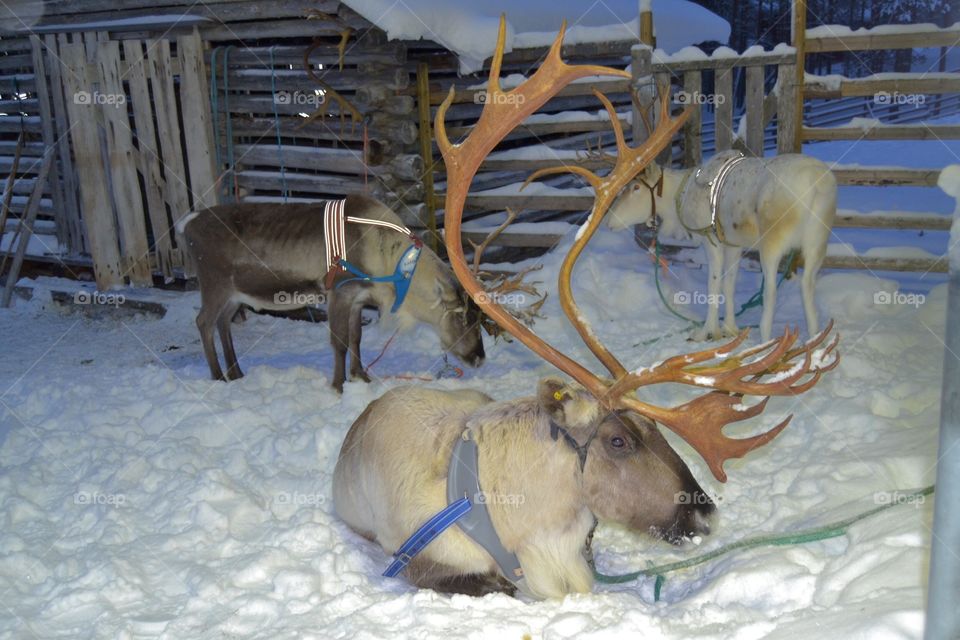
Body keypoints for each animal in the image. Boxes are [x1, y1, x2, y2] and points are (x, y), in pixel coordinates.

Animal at [177, 194, 485, 393]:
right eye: (463, 317)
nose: (480, 357)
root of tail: (186, 224)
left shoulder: (358, 299)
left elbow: (356, 338)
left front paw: (361, 376)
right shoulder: (339, 293)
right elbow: (339, 342)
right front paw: (338, 386)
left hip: (235, 294)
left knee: (223, 322)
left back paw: (236, 373)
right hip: (214, 285)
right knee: (203, 322)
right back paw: (218, 377)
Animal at [605, 114, 837, 342]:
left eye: (636, 187)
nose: (609, 220)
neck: (677, 200)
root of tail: (818, 184)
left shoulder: (711, 240)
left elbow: (713, 285)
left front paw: (707, 331)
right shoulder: (734, 244)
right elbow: (729, 285)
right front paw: (730, 329)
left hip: (772, 242)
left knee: (771, 292)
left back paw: (766, 340)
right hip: (818, 241)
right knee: (807, 284)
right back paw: (815, 338)